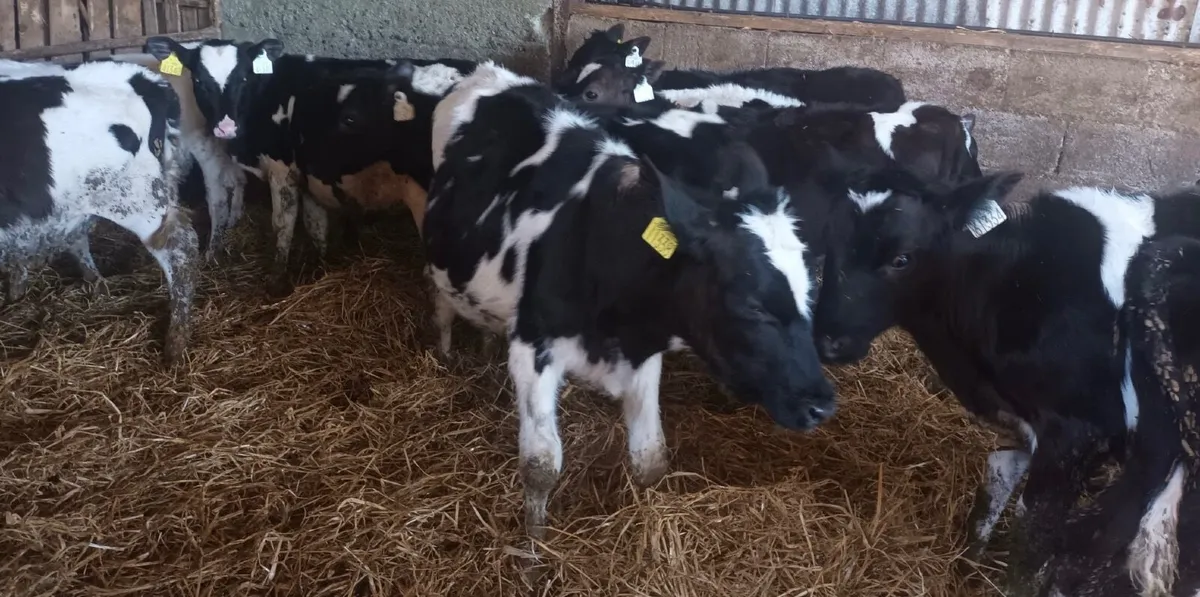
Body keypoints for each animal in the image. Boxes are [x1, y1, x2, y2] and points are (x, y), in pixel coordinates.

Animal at [142, 36, 474, 293]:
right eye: (198, 80)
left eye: (244, 78)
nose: (224, 127)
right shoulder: (308, 174)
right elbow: (315, 224)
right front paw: (322, 265)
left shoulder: (282, 168)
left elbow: (282, 223)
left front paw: (277, 279)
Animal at [423, 62, 836, 540]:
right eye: (751, 304)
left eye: (810, 292)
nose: (821, 404)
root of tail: (489, 73)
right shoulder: (533, 345)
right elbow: (540, 465)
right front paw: (533, 545)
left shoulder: (643, 350)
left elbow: (650, 458)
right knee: (442, 304)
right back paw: (445, 349)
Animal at [811, 171, 1200, 558]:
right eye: (829, 243)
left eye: (901, 259)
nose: (826, 340)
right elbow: (993, 488)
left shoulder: (1080, 433)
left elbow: (1032, 531)